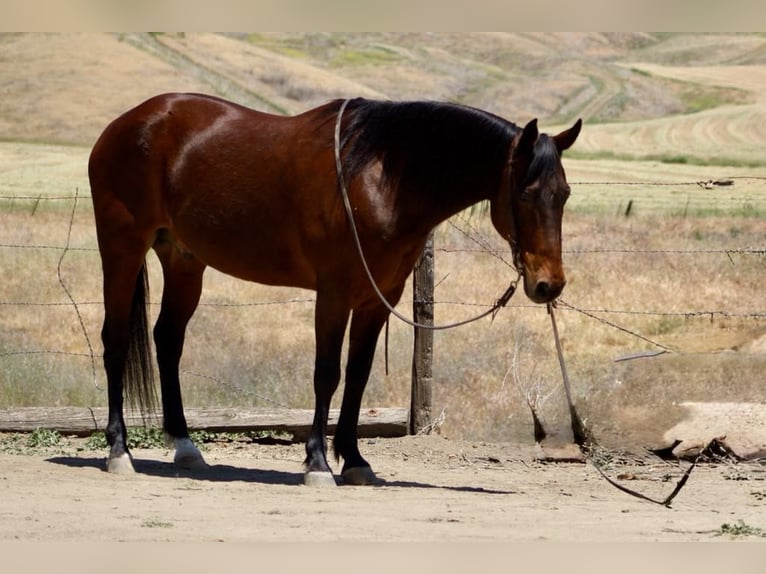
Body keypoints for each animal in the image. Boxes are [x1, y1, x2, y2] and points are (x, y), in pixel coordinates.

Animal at [88, 93, 581, 486]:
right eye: (526, 193)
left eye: (564, 194)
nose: (549, 284)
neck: (382, 180)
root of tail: (127, 123)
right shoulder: (334, 293)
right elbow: (327, 373)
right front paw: (319, 463)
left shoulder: (379, 299)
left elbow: (358, 375)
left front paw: (355, 460)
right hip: (122, 249)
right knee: (115, 341)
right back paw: (119, 451)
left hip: (184, 260)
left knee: (168, 340)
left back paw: (186, 447)